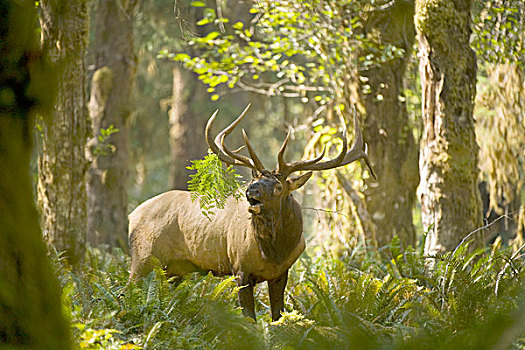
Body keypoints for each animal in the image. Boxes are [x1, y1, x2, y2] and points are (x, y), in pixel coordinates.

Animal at [128, 103, 372, 320]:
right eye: (253, 180)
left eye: (278, 186)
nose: (250, 191)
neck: (275, 252)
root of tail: (132, 215)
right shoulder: (240, 268)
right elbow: (250, 319)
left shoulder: (281, 273)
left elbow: (277, 316)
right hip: (143, 258)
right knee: (128, 290)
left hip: (175, 270)